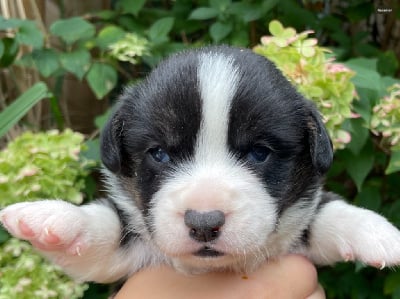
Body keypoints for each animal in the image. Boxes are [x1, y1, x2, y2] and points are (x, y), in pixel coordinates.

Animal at [0, 45, 400, 284]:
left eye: (260, 152)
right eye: (159, 153)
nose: (204, 223)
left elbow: (326, 212)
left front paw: (378, 233)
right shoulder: (127, 256)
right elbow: (105, 228)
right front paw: (55, 218)